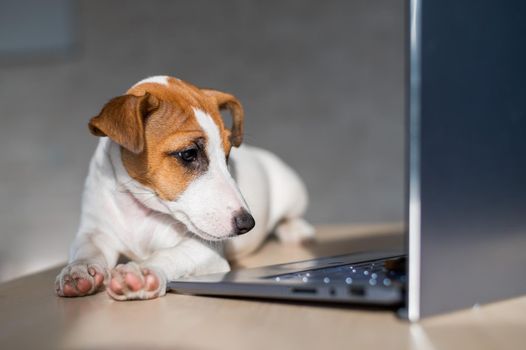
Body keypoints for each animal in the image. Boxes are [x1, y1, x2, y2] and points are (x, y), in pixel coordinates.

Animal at [55, 75, 316, 300]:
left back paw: (295, 230)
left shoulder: (207, 250)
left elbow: (171, 254)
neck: (138, 208)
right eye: (188, 154)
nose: (248, 224)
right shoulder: (95, 232)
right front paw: (78, 271)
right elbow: (87, 250)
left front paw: (143, 272)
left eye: (227, 155)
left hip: (292, 189)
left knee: (290, 216)